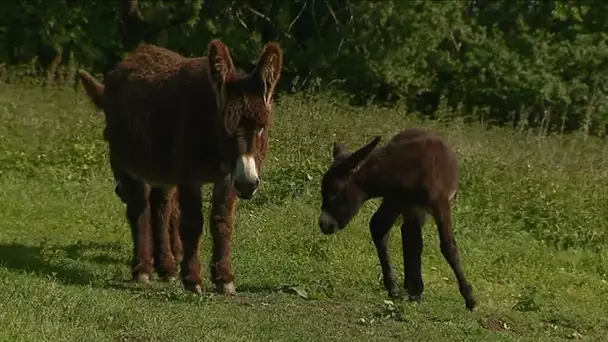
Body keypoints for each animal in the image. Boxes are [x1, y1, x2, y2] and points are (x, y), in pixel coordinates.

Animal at [78, 40, 282, 296]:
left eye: (262, 127)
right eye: (225, 127)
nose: (247, 184)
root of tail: (137, 53)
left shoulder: (227, 176)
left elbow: (222, 222)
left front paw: (224, 278)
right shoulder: (188, 177)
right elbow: (193, 223)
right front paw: (193, 280)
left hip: (162, 171)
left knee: (160, 209)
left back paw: (166, 267)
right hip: (128, 164)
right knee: (139, 210)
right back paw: (143, 269)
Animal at [316, 127, 478, 310]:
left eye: (334, 194)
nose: (324, 225)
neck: (406, 169)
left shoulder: (440, 205)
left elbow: (448, 246)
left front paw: (470, 299)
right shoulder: (403, 203)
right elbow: (413, 242)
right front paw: (415, 291)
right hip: (398, 204)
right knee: (390, 230)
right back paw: (402, 287)